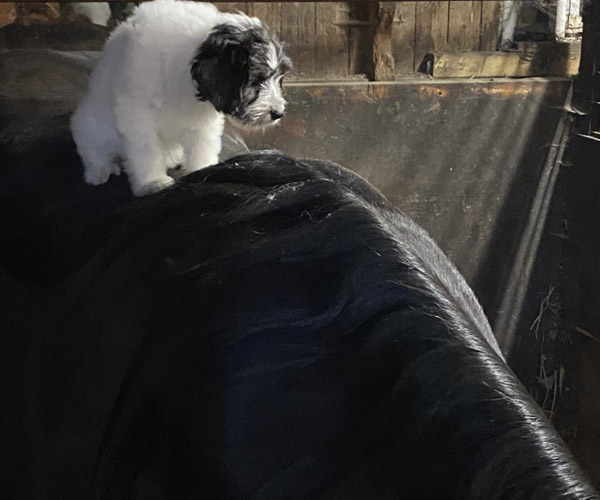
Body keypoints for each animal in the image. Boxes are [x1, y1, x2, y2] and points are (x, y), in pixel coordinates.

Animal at [70, 0, 291, 196]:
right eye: (257, 81)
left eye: (279, 78)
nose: (278, 113)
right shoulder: (136, 114)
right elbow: (146, 150)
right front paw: (152, 182)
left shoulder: (203, 123)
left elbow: (203, 148)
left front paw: (205, 172)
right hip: (93, 126)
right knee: (93, 148)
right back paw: (99, 170)